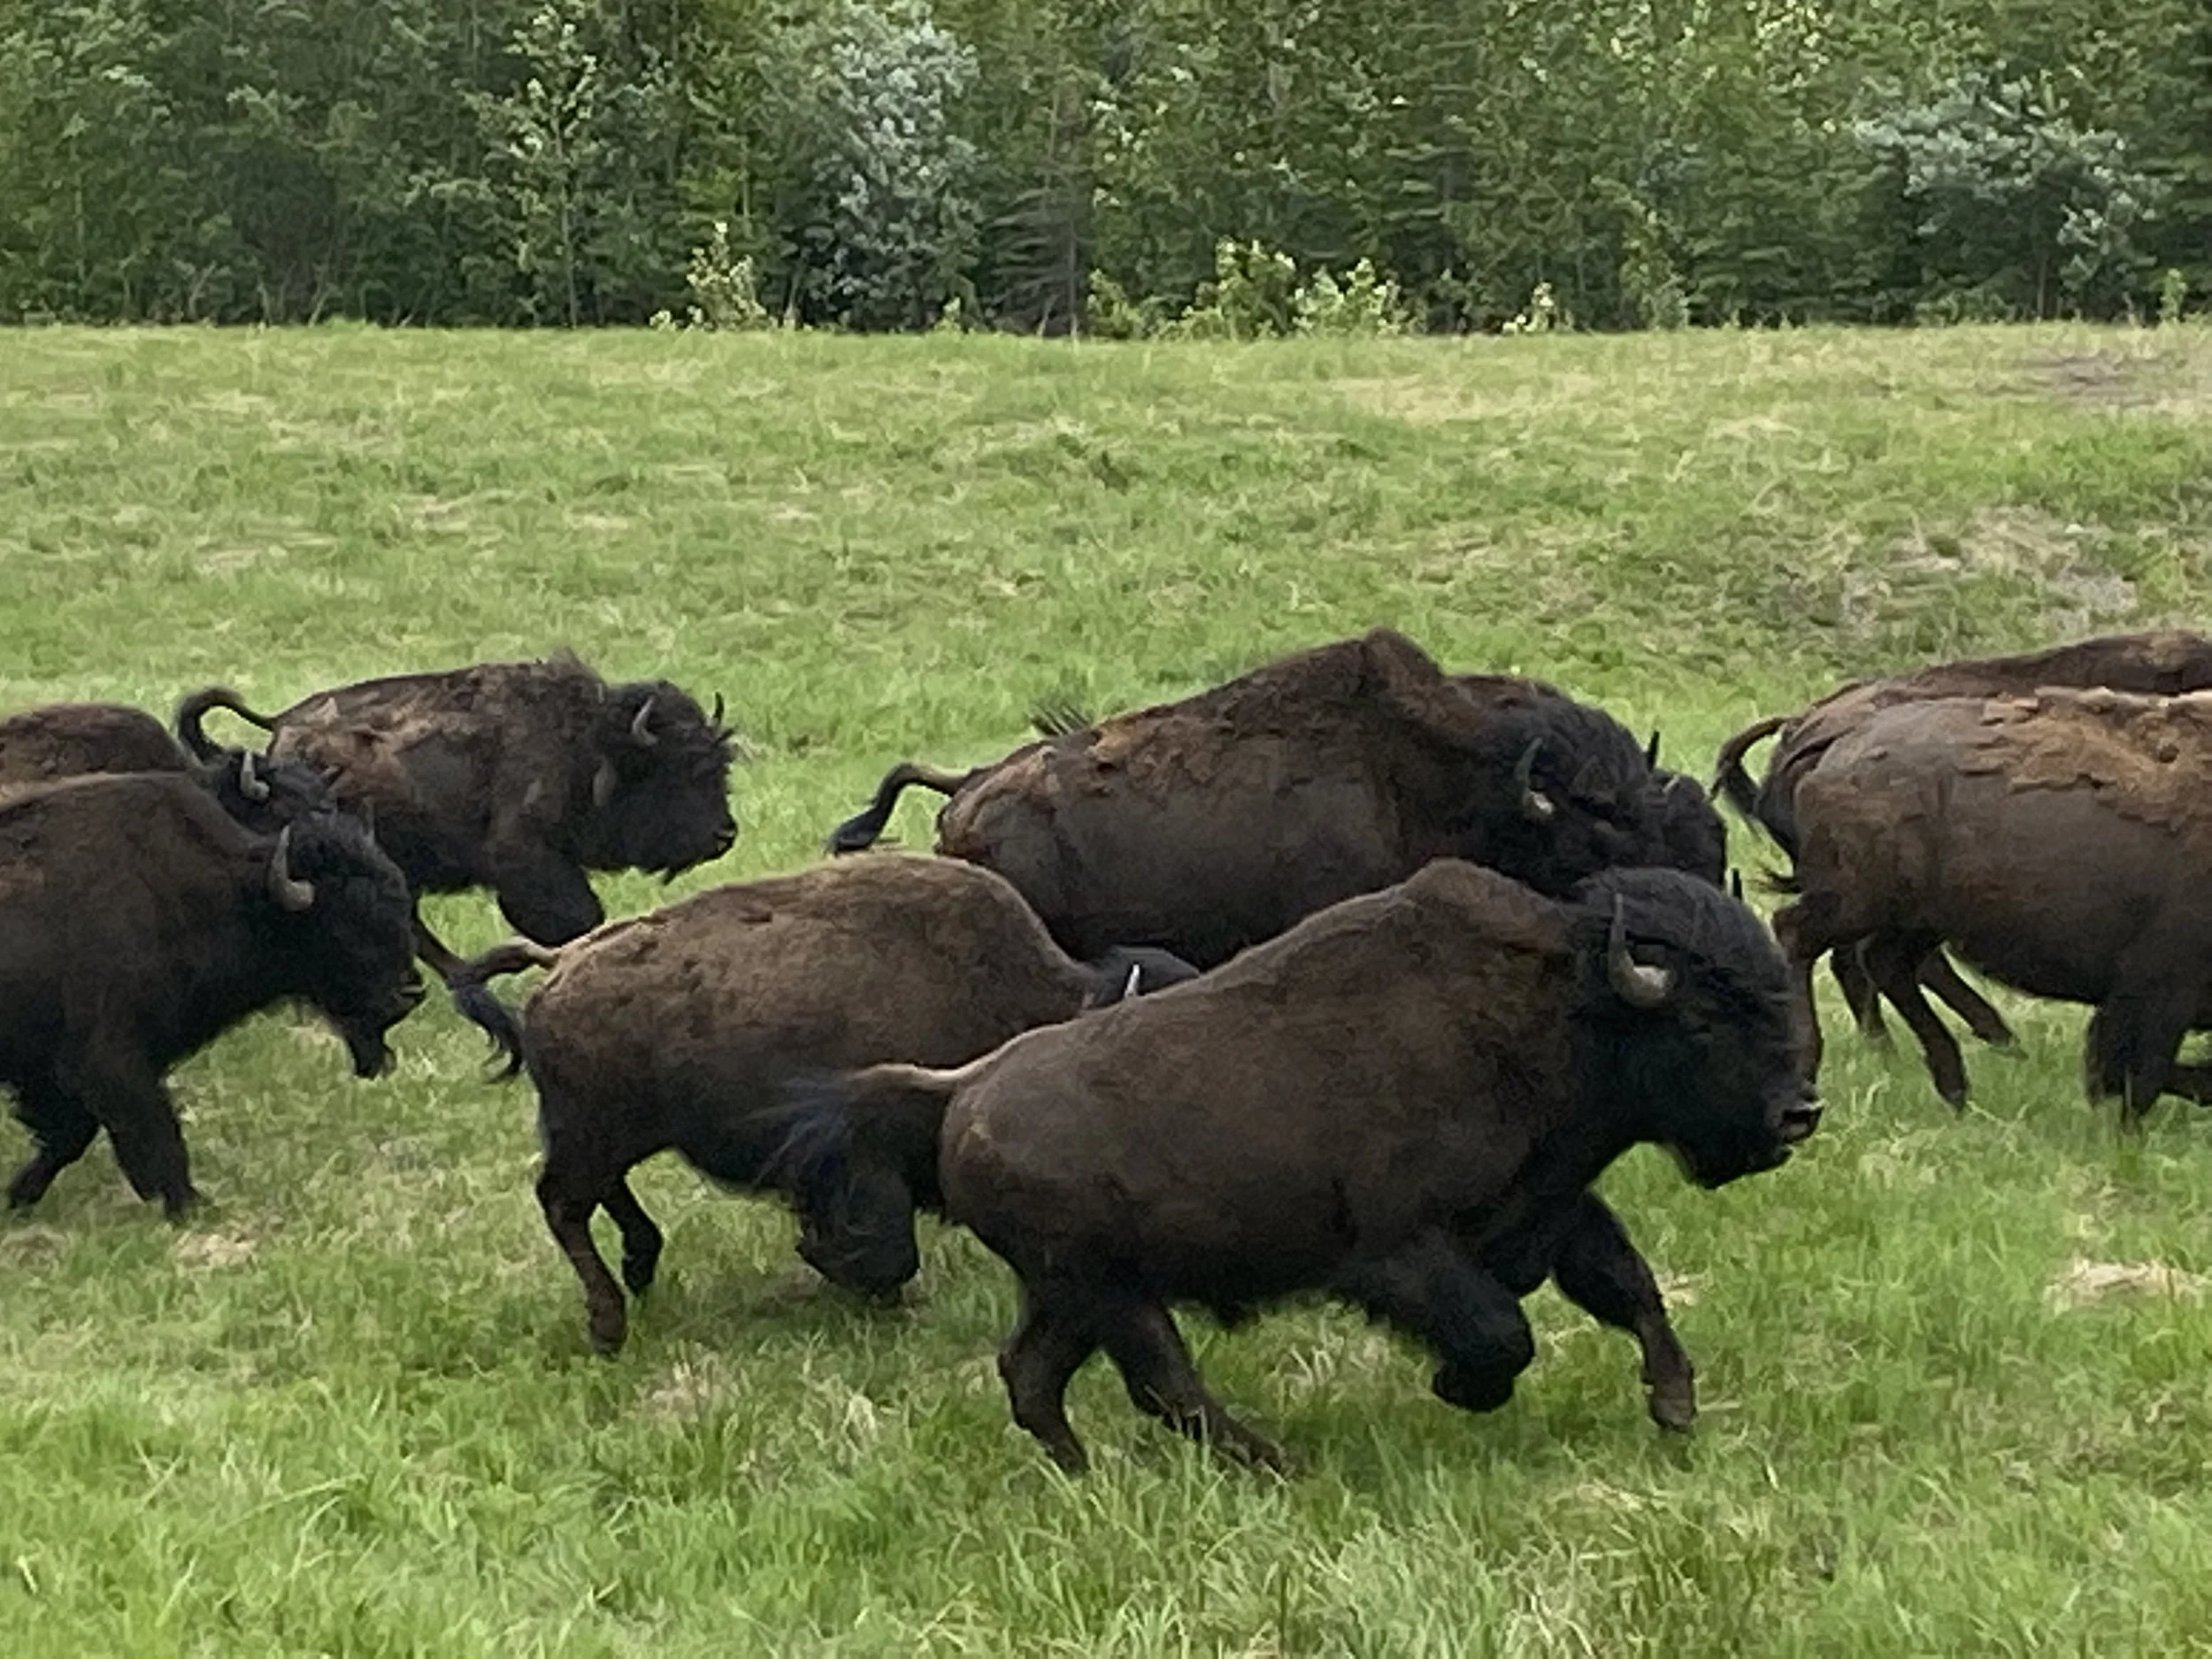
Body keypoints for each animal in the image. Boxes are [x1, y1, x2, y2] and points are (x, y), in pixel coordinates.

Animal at [0, 773, 424, 1218]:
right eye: (344, 921)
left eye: (399, 900)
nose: (410, 991)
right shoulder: (110, 1059)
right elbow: (153, 1132)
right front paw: (190, 1206)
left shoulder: (50, 1071)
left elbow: (70, 1136)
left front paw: (17, 1196)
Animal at [176, 653, 739, 985]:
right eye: (681, 769)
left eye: (720, 766)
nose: (726, 834)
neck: (588, 742)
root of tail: (279, 729)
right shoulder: (524, 857)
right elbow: (577, 916)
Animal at [443, 854, 1198, 1354]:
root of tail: (561, 961)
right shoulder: (858, 1162)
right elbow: (890, 1250)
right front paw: (831, 1266)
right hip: (592, 1136)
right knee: (563, 1203)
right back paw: (608, 1325)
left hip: (614, 1136)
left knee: (599, 1196)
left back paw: (639, 1268)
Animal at [776, 861, 1818, 1472]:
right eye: (1701, 1018)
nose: (1799, 1111)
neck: (1564, 1006)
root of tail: (964, 1091)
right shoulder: (1402, 1251)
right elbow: (1501, 1332)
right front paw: (1458, 1390)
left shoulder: (1555, 1206)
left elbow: (1629, 1286)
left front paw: (1675, 1406)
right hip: (1107, 1288)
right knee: (1159, 1383)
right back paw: (1278, 1466)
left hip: (1072, 1293)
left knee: (1036, 1375)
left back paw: (1087, 1474)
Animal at [1770, 687, 2212, 1121]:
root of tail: (1844, 742)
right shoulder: (2159, 991)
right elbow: (2136, 1074)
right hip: (1860, 904)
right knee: (1796, 933)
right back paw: (1808, 1063)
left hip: (1915, 920)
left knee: (1885, 963)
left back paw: (1956, 1090)